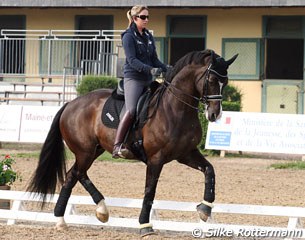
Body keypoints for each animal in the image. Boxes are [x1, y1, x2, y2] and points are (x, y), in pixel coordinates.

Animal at [26, 48, 238, 236]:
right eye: (211, 80)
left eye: (226, 82)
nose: (214, 114)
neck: (176, 109)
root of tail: (70, 103)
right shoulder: (156, 158)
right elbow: (150, 190)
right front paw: (145, 225)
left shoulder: (186, 153)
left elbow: (210, 170)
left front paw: (205, 209)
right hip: (85, 151)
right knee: (77, 174)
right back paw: (89, 213)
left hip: (94, 150)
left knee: (74, 175)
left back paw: (75, 217)